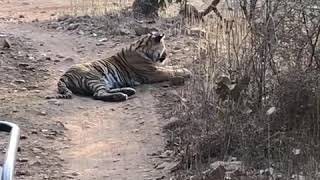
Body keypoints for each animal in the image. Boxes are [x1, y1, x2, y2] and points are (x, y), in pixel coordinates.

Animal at [47, 31, 192, 102]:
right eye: (164, 47)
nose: (167, 55)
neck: (142, 48)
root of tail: (63, 76)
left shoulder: (155, 68)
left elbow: (171, 68)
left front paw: (183, 68)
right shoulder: (152, 72)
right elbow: (169, 72)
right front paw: (186, 71)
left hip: (102, 81)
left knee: (105, 91)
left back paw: (128, 90)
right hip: (94, 77)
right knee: (98, 94)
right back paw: (121, 96)